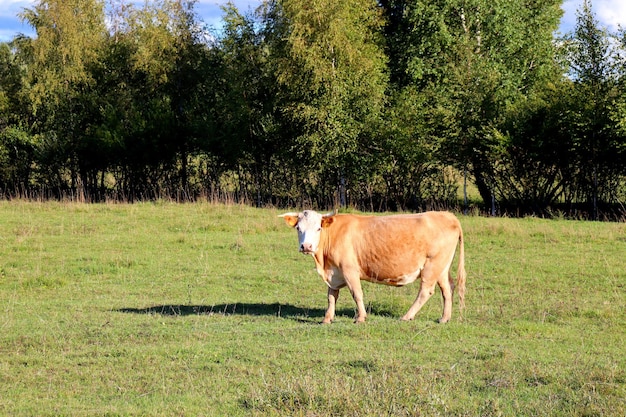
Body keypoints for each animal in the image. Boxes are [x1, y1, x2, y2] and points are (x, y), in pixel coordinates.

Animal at [278, 210, 464, 324]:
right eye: (298, 228)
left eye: (318, 228)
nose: (306, 246)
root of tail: (447, 215)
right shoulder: (334, 274)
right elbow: (331, 296)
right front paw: (327, 319)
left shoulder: (349, 270)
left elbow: (356, 294)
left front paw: (360, 318)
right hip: (442, 268)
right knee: (447, 289)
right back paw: (444, 318)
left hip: (432, 266)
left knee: (426, 291)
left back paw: (406, 316)